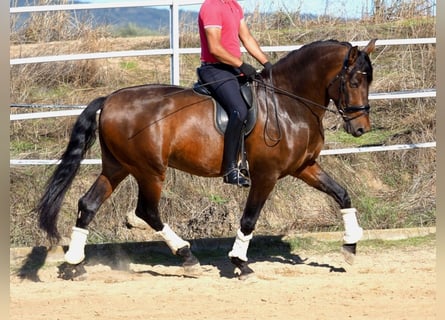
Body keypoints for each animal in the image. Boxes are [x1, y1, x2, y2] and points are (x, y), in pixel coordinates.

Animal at [35, 37, 374, 278]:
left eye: (368, 81)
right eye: (355, 81)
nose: (361, 128)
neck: (289, 103)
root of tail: (109, 99)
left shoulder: (304, 166)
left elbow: (341, 194)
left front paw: (350, 245)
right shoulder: (266, 175)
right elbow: (249, 218)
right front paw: (240, 263)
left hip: (117, 167)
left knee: (88, 204)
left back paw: (75, 264)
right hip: (149, 171)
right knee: (147, 211)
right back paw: (187, 256)